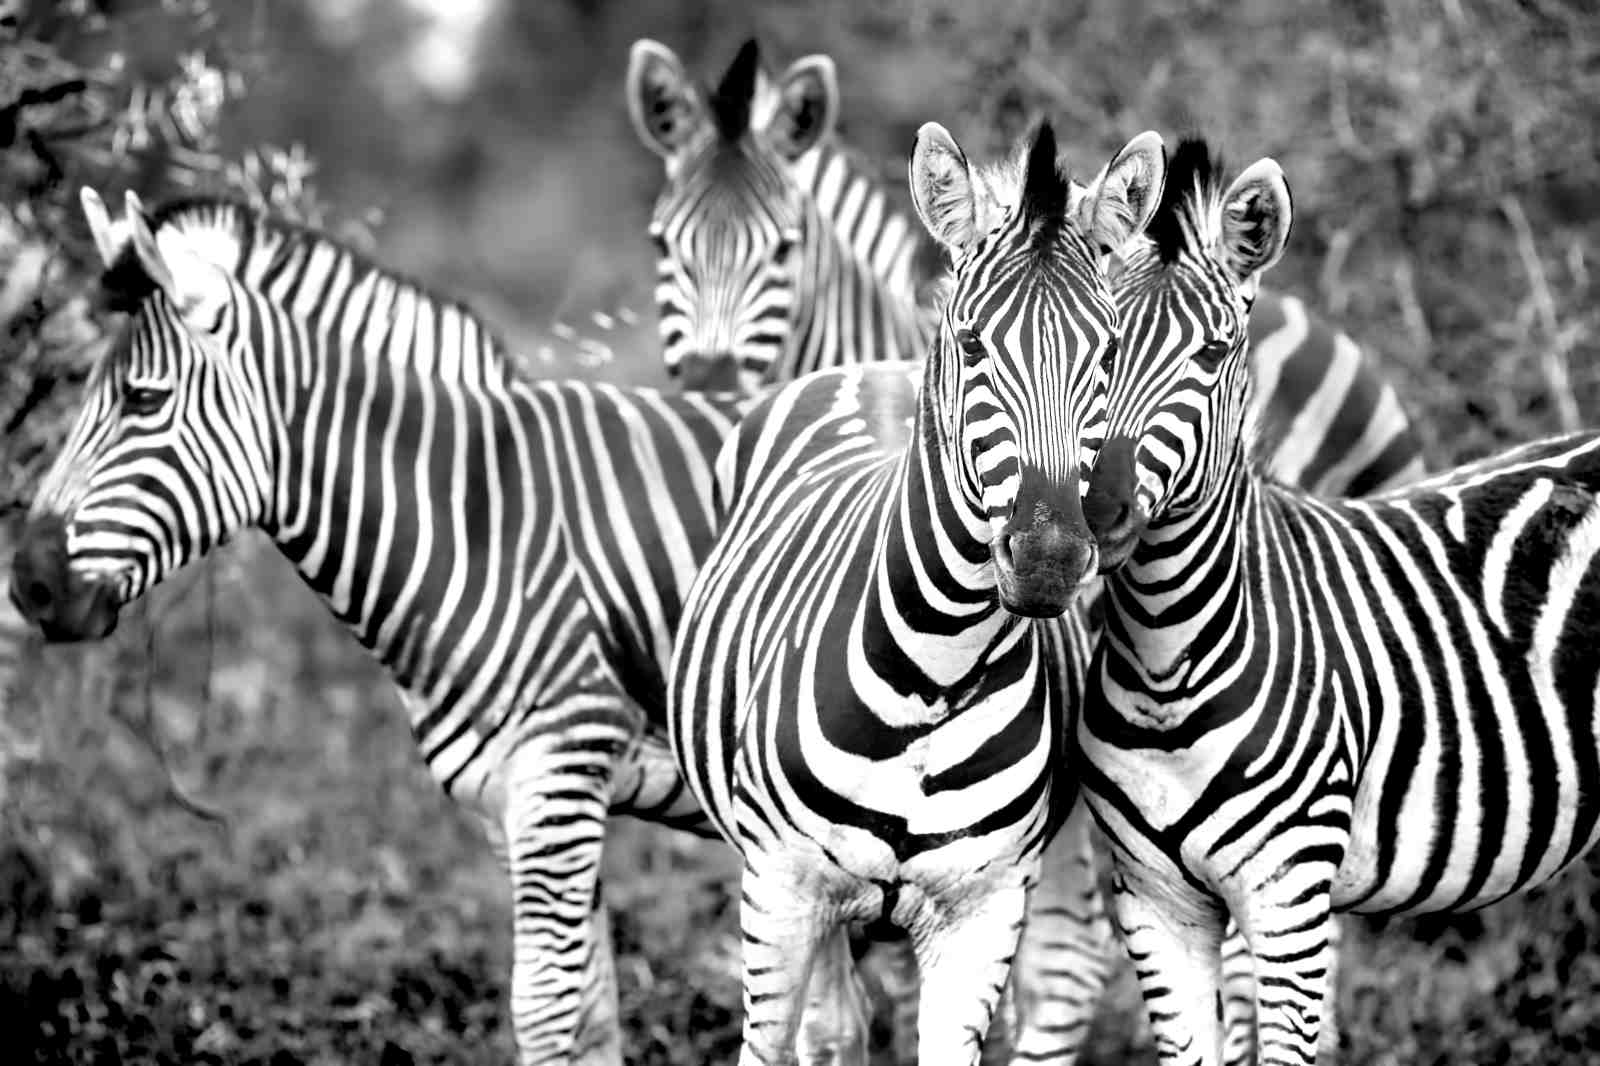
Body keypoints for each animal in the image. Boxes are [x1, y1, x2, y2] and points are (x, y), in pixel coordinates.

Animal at [4, 190, 890, 1065]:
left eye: (142, 401)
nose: (30, 585)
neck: (484, 527)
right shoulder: (511, 802)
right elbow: (595, 1014)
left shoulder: (559, 775)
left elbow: (543, 1009)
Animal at [667, 119, 1166, 1065]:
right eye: (972, 344)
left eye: (1110, 353)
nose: (1048, 559)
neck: (932, 669)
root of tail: (874, 366)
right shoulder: (780, 892)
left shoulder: (985, 909)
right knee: (831, 1027)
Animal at [1076, 136, 1600, 1066]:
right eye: (1100, 347)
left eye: (1213, 355)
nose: (1102, 514)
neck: (1167, 661)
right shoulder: (1153, 903)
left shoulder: (1290, 899)